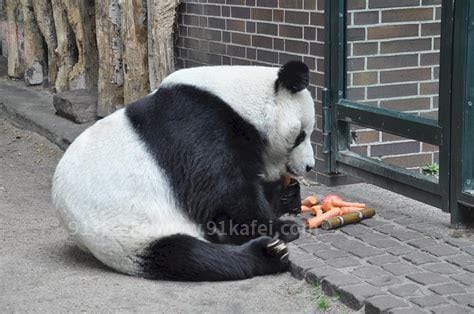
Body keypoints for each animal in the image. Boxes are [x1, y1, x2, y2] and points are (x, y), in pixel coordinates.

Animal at [52, 60, 314, 280]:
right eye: (301, 135)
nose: (309, 166)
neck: (238, 101)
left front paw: (287, 195)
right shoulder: (197, 125)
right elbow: (224, 191)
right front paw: (283, 228)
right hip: (129, 234)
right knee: (189, 256)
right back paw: (270, 253)